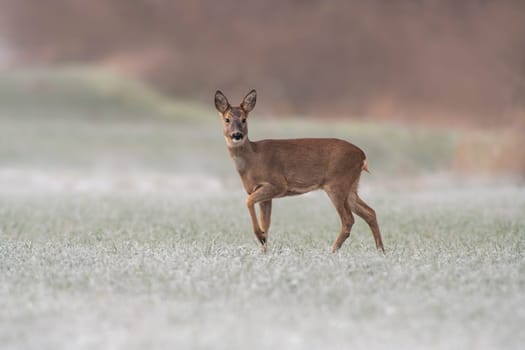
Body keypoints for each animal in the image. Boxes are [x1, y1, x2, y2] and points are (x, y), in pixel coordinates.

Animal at [215, 89, 382, 253]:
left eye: (244, 119)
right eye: (227, 120)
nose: (237, 135)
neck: (252, 160)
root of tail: (362, 156)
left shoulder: (277, 183)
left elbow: (248, 201)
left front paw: (260, 237)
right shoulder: (264, 194)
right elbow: (266, 224)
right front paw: (263, 250)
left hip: (337, 183)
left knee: (348, 219)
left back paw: (332, 251)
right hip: (351, 186)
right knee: (370, 212)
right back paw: (381, 251)